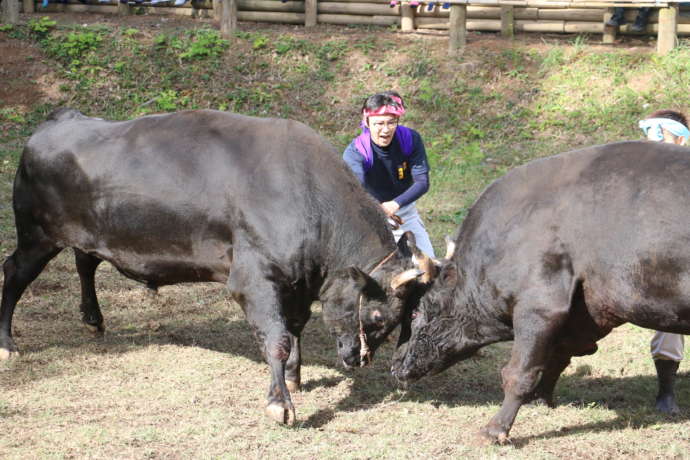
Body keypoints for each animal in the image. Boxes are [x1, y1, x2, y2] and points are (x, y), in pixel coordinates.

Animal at [0, 108, 424, 424]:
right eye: (375, 316)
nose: (358, 359)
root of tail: (58, 121)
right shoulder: (252, 278)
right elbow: (278, 338)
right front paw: (279, 404)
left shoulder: (297, 283)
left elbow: (293, 328)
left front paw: (293, 379)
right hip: (36, 234)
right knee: (13, 272)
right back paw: (8, 345)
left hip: (84, 233)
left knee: (85, 261)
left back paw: (93, 320)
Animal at [390, 140, 688, 442]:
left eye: (414, 313)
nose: (395, 365)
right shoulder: (583, 315)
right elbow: (557, 357)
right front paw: (540, 399)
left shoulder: (540, 305)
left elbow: (518, 373)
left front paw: (496, 429)